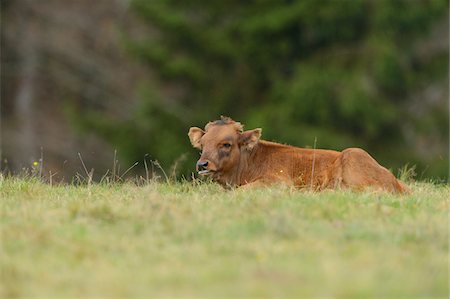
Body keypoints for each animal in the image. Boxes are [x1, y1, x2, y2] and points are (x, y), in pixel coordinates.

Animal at [188, 116, 410, 193]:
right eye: (202, 145)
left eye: (226, 144)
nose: (202, 165)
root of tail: (396, 183)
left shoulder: (278, 182)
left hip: (353, 156)